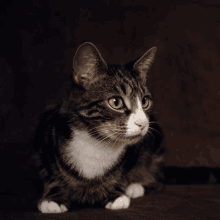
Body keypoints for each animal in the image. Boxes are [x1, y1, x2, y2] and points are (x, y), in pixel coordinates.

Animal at [34, 42, 165, 212]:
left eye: (144, 102)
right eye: (116, 102)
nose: (142, 123)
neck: (95, 142)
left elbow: (123, 174)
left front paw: (116, 194)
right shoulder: (44, 137)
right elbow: (49, 173)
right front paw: (53, 199)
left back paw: (136, 186)